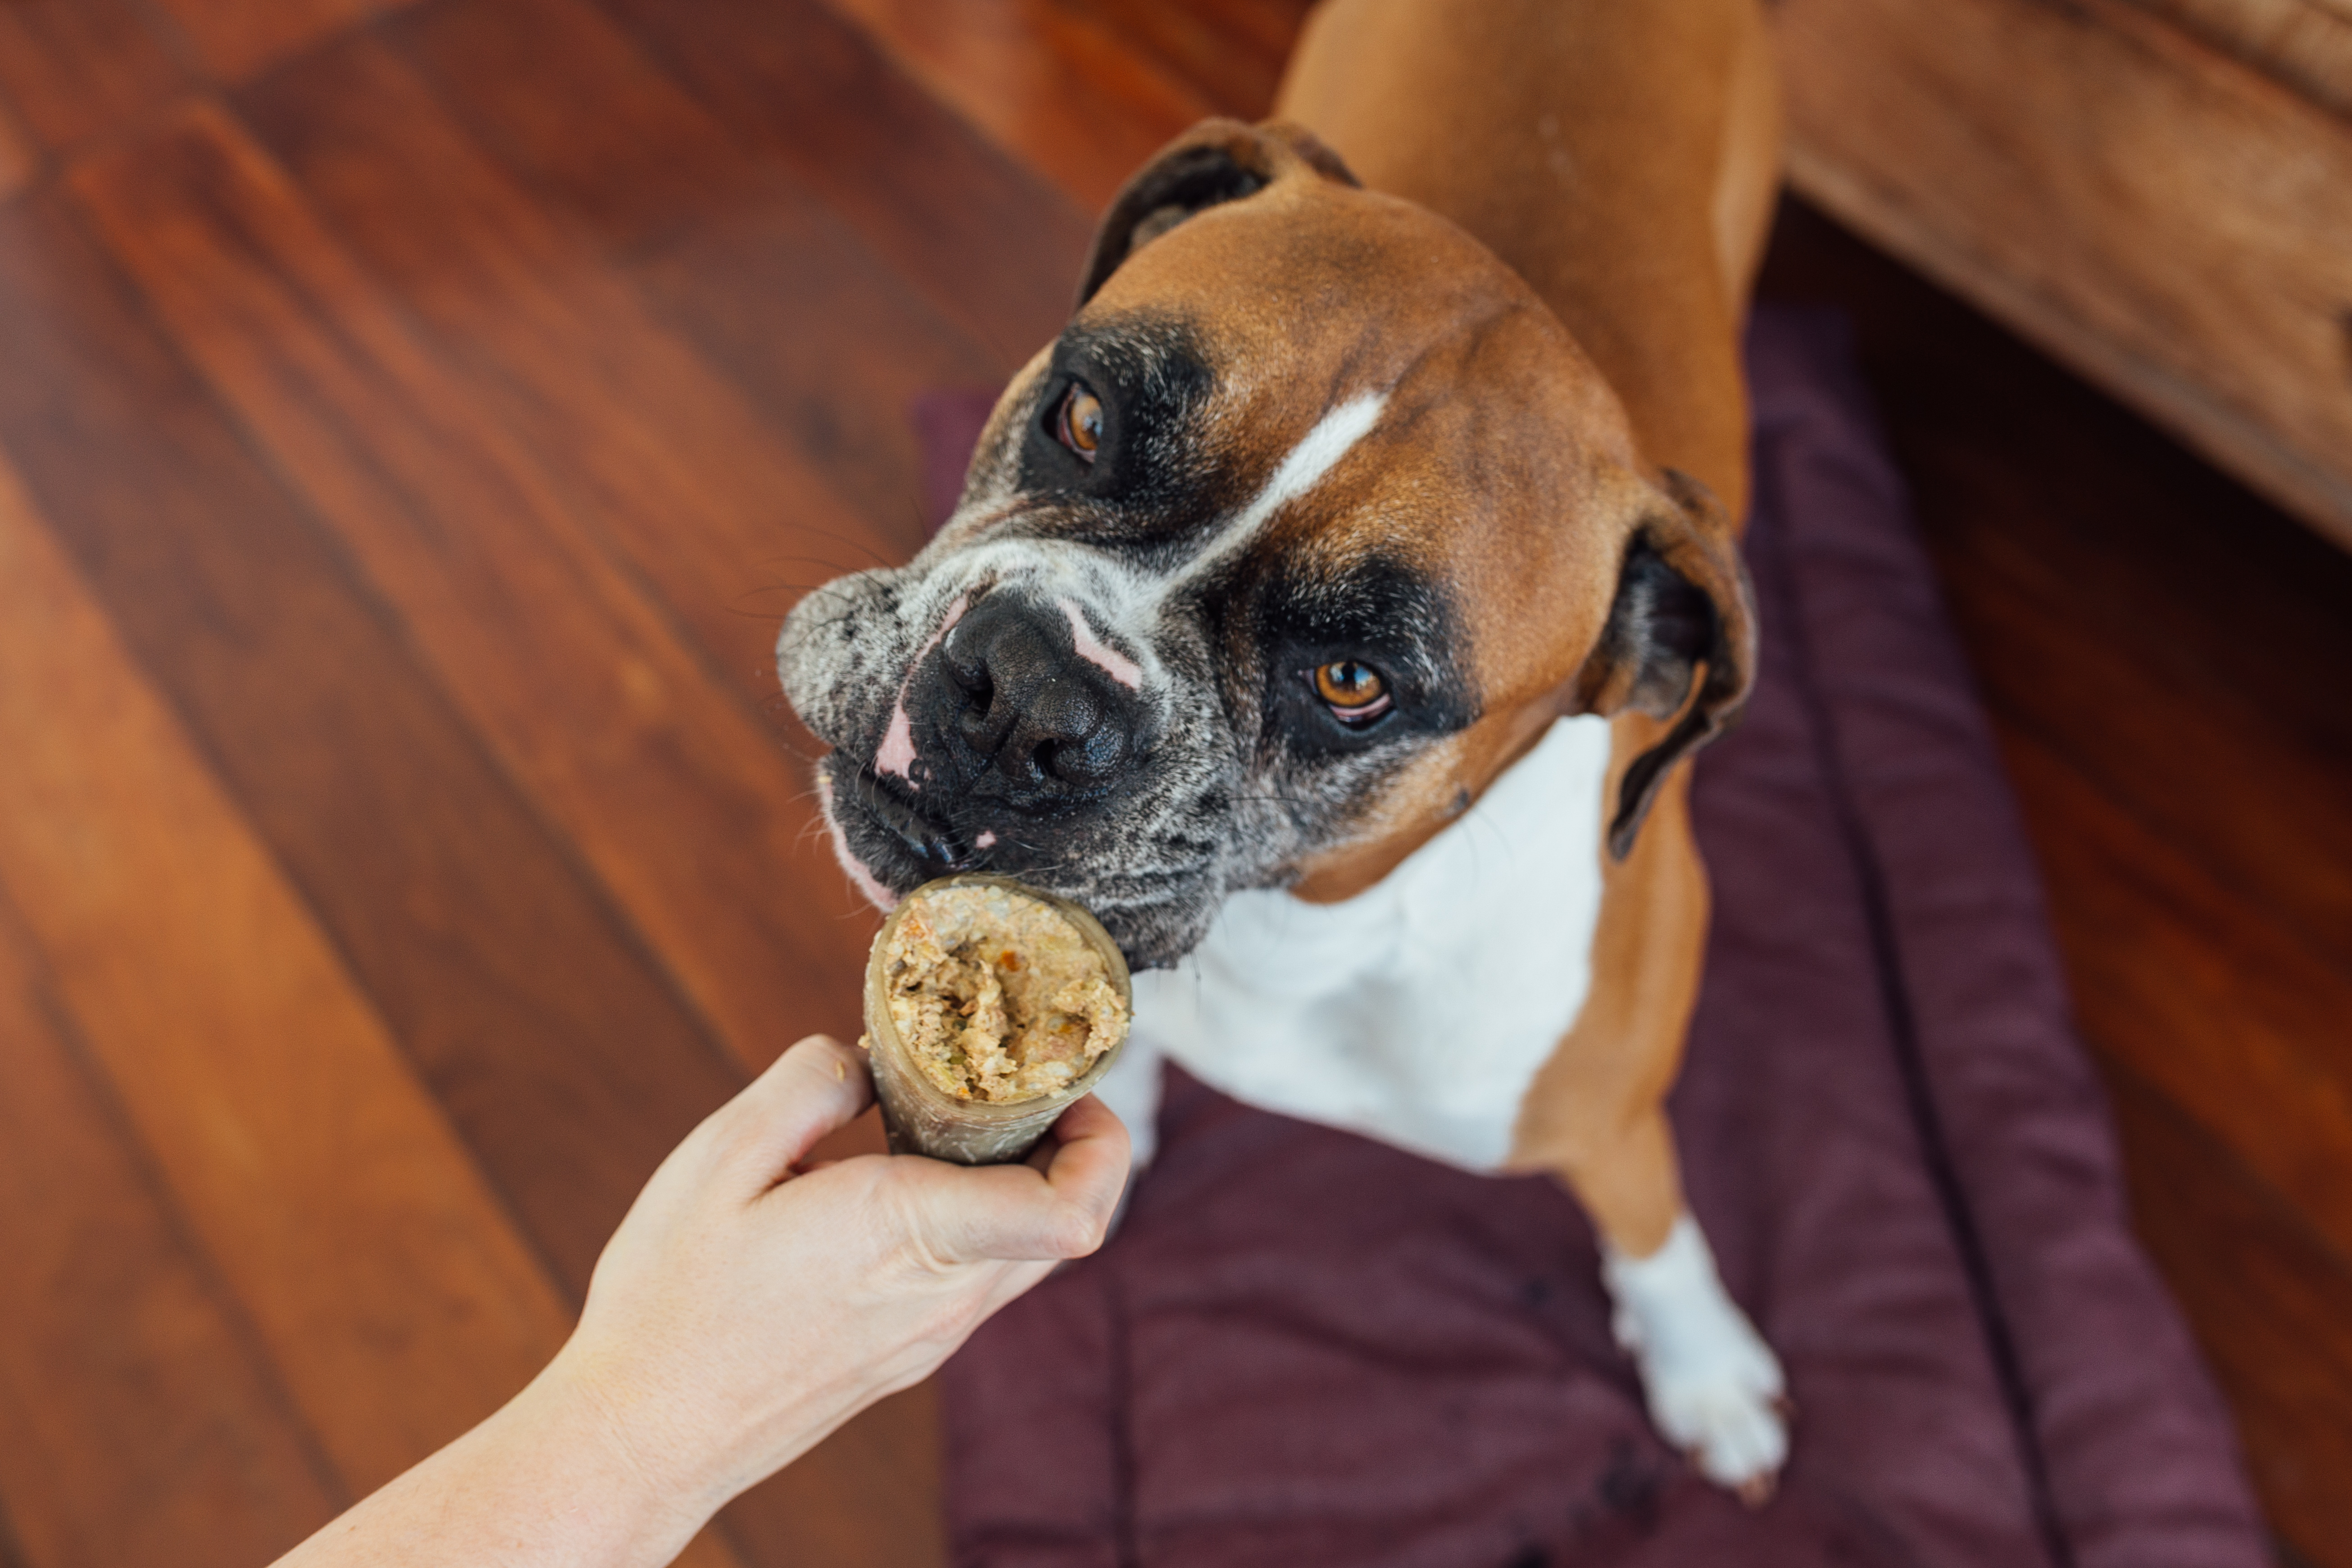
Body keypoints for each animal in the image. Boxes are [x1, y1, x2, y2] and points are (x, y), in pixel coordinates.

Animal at [776, 0, 1778, 1495]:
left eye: (1352, 682)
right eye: (1083, 417)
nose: (1029, 691)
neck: (1297, 932)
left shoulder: (1608, 1115)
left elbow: (1650, 1219)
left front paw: (1703, 1365)